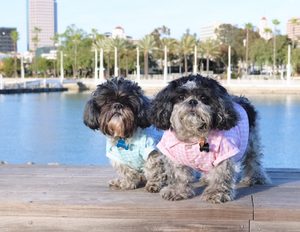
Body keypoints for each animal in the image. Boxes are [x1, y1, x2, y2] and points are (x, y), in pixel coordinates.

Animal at [151, 75, 270, 203]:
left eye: (203, 97)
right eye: (181, 97)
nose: (192, 101)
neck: (193, 134)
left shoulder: (224, 155)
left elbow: (220, 175)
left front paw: (216, 193)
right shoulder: (173, 156)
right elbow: (178, 175)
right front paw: (177, 191)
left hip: (252, 142)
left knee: (253, 160)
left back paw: (256, 177)